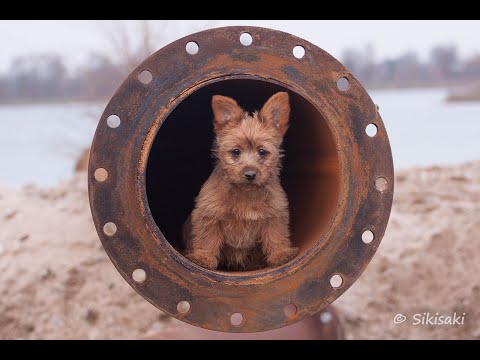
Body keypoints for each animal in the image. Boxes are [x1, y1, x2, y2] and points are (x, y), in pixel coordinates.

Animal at [183, 92, 298, 270]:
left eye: (262, 152)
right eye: (236, 152)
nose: (250, 174)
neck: (246, 193)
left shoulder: (275, 215)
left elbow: (276, 235)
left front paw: (281, 254)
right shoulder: (208, 214)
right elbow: (207, 238)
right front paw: (203, 257)